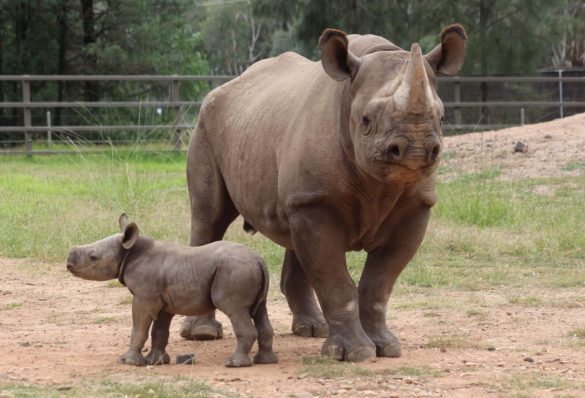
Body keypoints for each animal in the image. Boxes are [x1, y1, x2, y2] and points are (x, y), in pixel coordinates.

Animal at [67, 215, 278, 366]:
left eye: (93, 257)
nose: (68, 263)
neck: (128, 253)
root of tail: (258, 260)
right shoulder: (163, 303)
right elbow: (159, 331)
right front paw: (156, 362)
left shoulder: (144, 298)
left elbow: (139, 328)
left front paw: (128, 362)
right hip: (246, 271)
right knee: (260, 310)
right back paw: (265, 361)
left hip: (234, 271)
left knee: (235, 309)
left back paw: (234, 364)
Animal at [185, 24, 468, 360]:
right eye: (366, 120)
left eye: (441, 118)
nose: (415, 149)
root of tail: (225, 86)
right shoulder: (317, 202)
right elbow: (334, 279)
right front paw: (354, 354)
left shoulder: (414, 206)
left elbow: (379, 282)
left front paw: (386, 347)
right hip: (206, 123)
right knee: (209, 217)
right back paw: (201, 334)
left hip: (270, 147)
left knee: (291, 231)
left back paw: (311, 329)